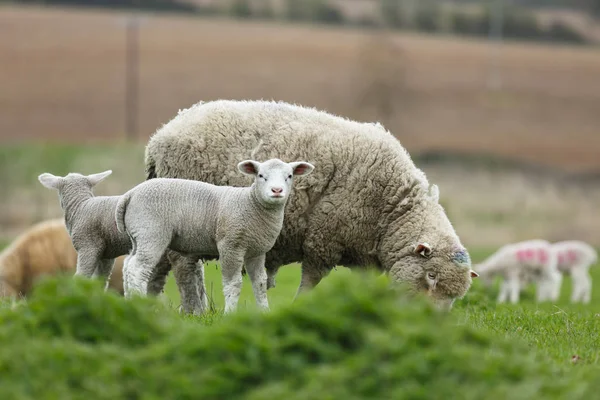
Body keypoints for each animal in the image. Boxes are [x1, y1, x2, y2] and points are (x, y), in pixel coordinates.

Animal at [114, 157, 316, 312]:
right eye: (260, 176)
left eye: (289, 176)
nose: (277, 191)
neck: (251, 204)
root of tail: (130, 194)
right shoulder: (231, 245)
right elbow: (233, 284)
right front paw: (230, 314)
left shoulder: (257, 251)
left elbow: (259, 283)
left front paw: (264, 312)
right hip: (151, 233)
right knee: (138, 269)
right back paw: (138, 303)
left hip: (138, 236)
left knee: (127, 266)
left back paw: (130, 303)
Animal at [144, 99, 478, 310]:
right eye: (431, 277)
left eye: (456, 296)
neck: (391, 210)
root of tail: (159, 138)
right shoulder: (323, 240)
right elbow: (310, 282)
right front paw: (298, 307)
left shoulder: (362, 254)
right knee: (184, 268)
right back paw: (194, 311)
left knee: (157, 264)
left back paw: (148, 307)